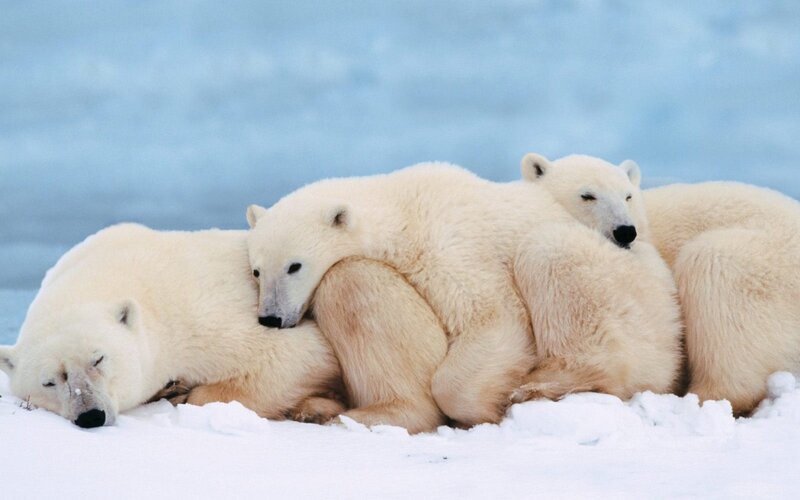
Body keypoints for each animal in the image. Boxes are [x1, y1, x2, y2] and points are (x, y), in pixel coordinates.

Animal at [0, 223, 346, 427]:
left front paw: (183, 393)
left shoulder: (203, 316)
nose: (90, 415)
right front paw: (172, 388)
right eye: (49, 382)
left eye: (98, 359)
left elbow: (300, 353)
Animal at [243, 162, 621, 427]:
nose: (271, 318)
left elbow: (493, 316)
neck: (403, 212)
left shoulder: (449, 247)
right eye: (257, 270)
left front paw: (489, 407)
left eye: (294, 266)